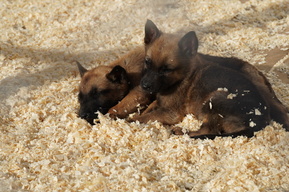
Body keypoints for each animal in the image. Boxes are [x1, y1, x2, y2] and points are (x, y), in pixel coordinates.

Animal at [132, 20, 286, 139]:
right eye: (147, 62)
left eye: (166, 69)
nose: (144, 85)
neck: (183, 77)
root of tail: (258, 122)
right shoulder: (160, 103)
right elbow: (149, 109)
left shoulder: (170, 113)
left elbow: (146, 117)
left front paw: (132, 119)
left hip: (215, 99)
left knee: (208, 130)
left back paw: (182, 131)